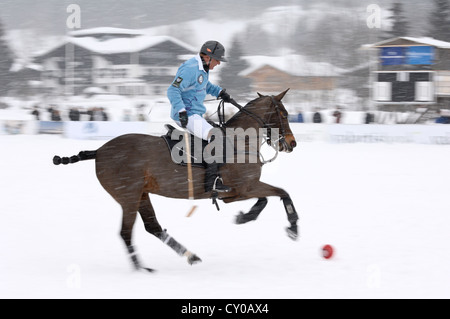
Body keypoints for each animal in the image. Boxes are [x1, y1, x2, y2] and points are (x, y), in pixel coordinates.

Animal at [52, 89, 298, 272]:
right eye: (284, 114)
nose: (292, 143)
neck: (240, 141)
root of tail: (99, 151)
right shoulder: (244, 187)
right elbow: (281, 192)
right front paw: (293, 226)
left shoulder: (236, 193)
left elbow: (267, 198)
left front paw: (244, 216)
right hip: (128, 196)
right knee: (126, 232)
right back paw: (142, 269)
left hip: (141, 194)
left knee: (152, 227)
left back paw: (189, 256)